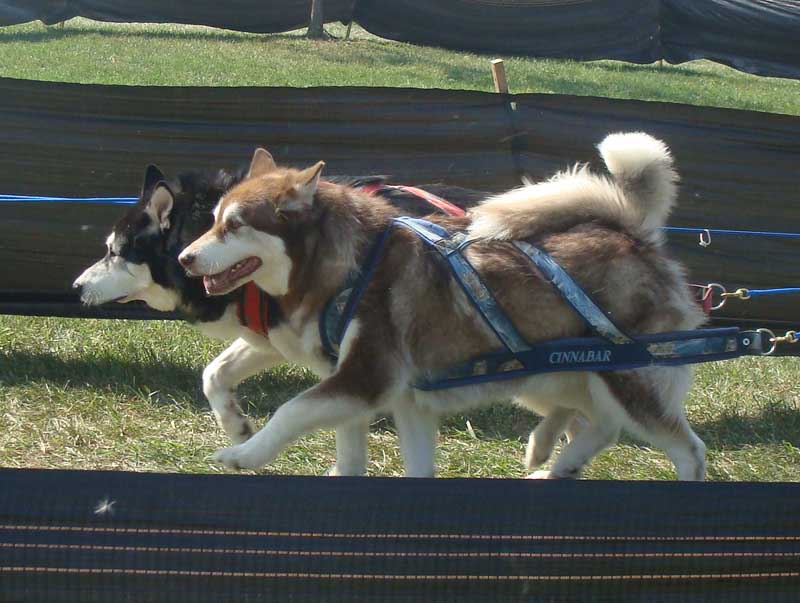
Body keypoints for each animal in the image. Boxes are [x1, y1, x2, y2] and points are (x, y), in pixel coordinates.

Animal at [75, 164, 484, 476]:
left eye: (115, 252)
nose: (77, 287)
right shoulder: (277, 338)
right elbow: (214, 373)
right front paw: (237, 427)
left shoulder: (345, 360)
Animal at [180, 133, 708, 482]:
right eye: (213, 220)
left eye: (235, 225)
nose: (185, 258)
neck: (351, 267)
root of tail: (635, 236)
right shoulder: (399, 397)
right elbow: (371, 459)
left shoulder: (367, 378)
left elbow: (290, 411)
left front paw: (245, 454)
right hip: (553, 376)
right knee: (601, 423)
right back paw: (552, 460)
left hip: (626, 380)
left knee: (686, 448)